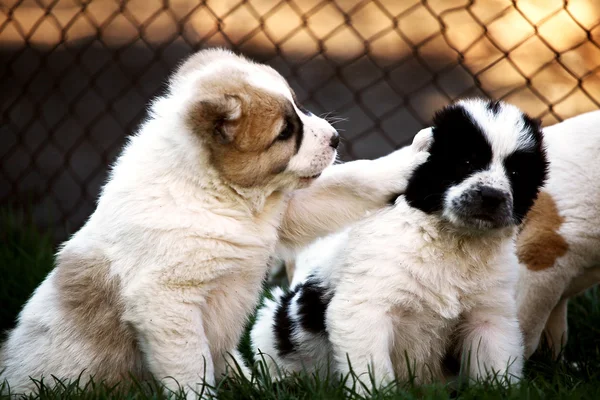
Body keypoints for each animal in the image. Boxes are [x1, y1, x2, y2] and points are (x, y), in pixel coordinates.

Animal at [0, 47, 432, 396]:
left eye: (298, 107)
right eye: (285, 131)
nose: (335, 139)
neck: (217, 193)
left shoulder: (288, 209)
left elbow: (353, 181)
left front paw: (413, 160)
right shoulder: (167, 301)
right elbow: (191, 367)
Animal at [250, 98, 548, 390]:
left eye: (516, 172)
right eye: (465, 161)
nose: (492, 196)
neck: (451, 240)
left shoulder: (490, 317)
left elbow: (496, 368)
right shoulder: (365, 310)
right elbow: (374, 375)